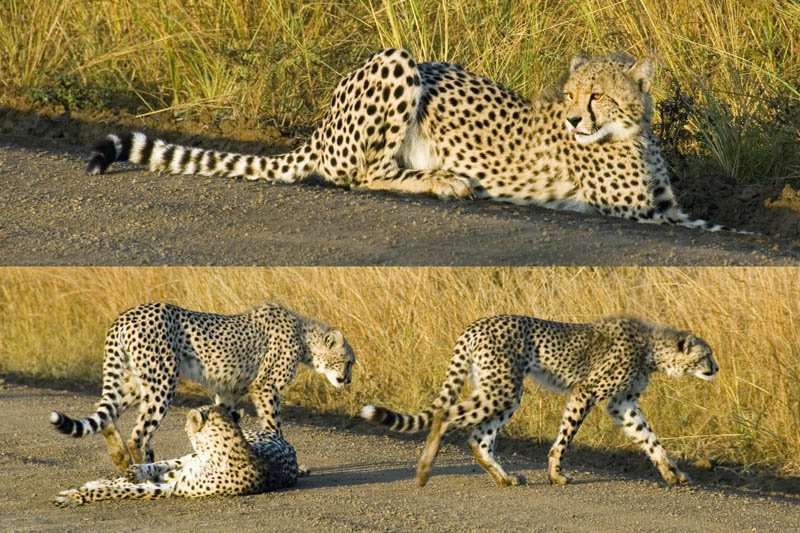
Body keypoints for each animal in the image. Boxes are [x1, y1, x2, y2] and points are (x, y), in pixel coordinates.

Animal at [49, 302, 354, 472]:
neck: (304, 338)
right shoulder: (265, 388)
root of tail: (125, 316)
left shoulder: (229, 391)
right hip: (163, 381)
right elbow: (274, 427)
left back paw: (122, 457)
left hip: (140, 381)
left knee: (105, 410)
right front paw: (292, 462)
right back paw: (143, 465)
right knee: (139, 434)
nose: (348, 380)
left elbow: (224, 425)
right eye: (348, 361)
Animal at [54, 405, 302, 506]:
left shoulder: (170, 488)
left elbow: (121, 490)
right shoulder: (179, 473)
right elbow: (142, 475)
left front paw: (82, 495)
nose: (184, 424)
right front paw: (79, 492)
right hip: (184, 460)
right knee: (158, 466)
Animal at [85, 48, 738, 232]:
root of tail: (323, 119)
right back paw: (446, 181)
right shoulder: (640, 211)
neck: (632, 130)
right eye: (573, 95)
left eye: (597, 95)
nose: (578, 121)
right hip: (398, 60)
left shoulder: (663, 205)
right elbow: (714, 228)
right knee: (360, 176)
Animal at [360, 315, 718, 487]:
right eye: (707, 355)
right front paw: (556, 476)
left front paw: (673, 474)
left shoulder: (622, 404)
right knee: (447, 415)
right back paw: (423, 471)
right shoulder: (585, 392)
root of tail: (476, 325)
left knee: (478, 438)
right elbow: (564, 439)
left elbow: (650, 440)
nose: (716, 368)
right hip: (503, 388)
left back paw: (505, 479)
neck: (653, 350)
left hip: (498, 390)